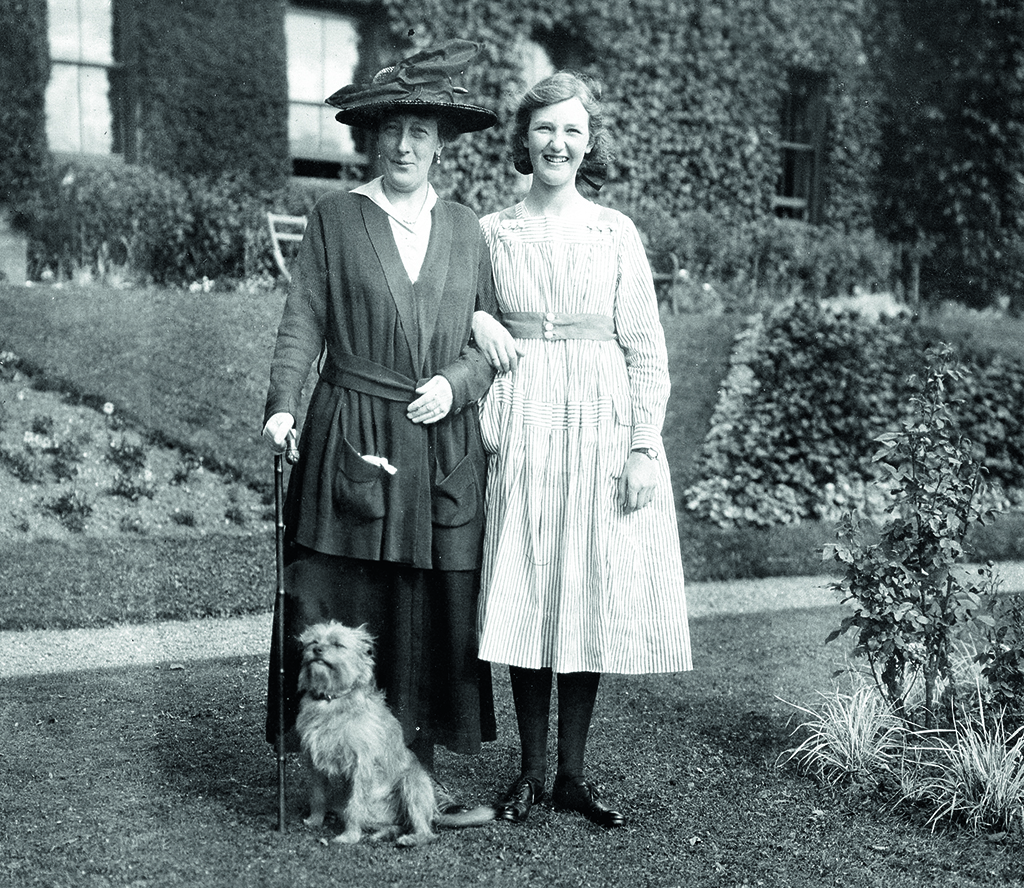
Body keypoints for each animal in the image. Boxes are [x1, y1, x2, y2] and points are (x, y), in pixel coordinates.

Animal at [294, 622, 493, 843]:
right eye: (313, 642)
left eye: (338, 644)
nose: (317, 650)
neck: (332, 700)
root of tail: (435, 813)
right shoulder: (315, 763)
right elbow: (317, 795)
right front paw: (314, 821)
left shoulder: (361, 765)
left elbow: (355, 805)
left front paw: (349, 837)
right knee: (398, 825)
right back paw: (383, 833)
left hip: (411, 783)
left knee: (426, 832)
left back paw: (410, 839)